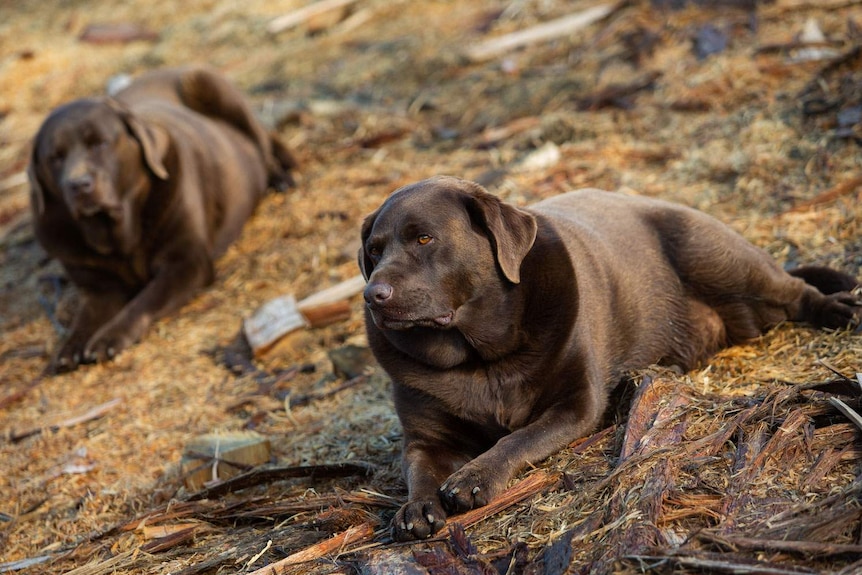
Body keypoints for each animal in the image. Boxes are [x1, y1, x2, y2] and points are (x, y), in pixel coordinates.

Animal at [30, 65, 296, 372]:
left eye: (100, 143)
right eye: (55, 157)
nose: (79, 184)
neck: (118, 236)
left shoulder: (186, 263)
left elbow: (145, 300)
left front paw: (110, 336)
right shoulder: (98, 288)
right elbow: (85, 318)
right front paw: (71, 346)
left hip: (209, 83)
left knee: (263, 145)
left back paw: (279, 178)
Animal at [360, 174, 862, 540]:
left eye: (424, 239)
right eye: (373, 251)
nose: (372, 295)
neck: (480, 356)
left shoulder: (576, 405)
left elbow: (518, 439)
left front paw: (474, 477)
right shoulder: (426, 438)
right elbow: (419, 468)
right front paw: (416, 507)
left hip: (721, 259)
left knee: (795, 291)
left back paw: (839, 308)